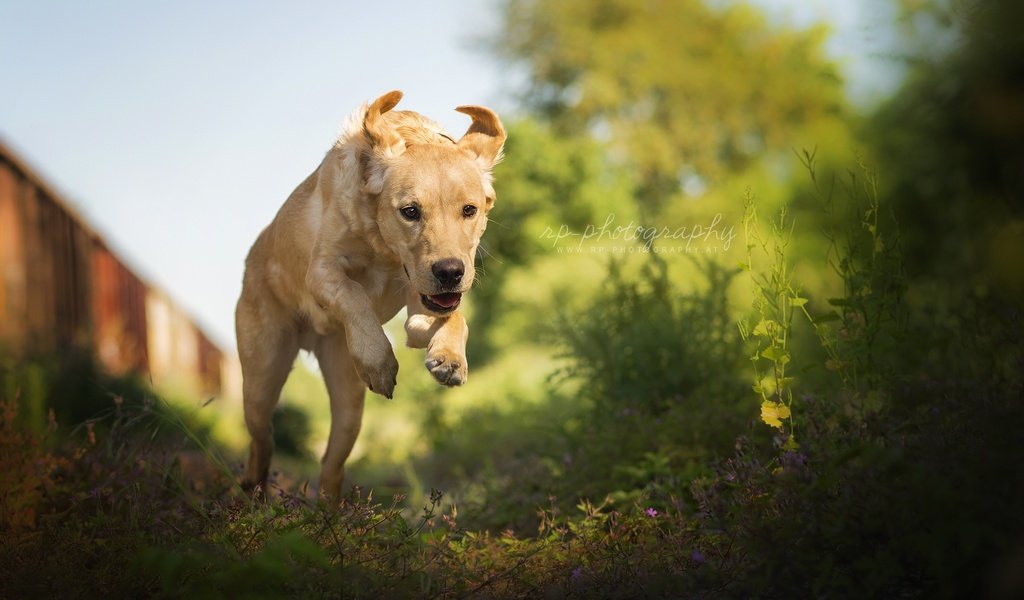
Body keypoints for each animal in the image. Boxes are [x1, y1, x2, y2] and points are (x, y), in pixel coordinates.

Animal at [233, 91, 503, 497]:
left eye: (469, 210)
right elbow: (354, 294)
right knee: (262, 441)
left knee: (331, 468)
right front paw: (378, 361)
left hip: (348, 406)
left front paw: (450, 358)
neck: (384, 249)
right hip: (261, 382)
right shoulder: (322, 270)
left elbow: (455, 315)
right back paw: (253, 490)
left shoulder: (420, 308)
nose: (450, 272)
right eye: (410, 211)